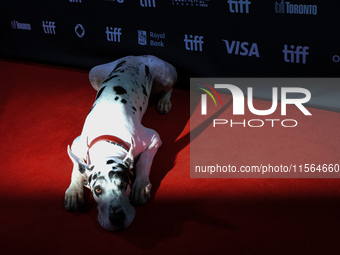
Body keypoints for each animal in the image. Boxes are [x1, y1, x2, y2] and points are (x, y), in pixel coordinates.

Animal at [63, 55, 178, 231]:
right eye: (97, 190)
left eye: (123, 184)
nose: (117, 218)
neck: (107, 144)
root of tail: (137, 56)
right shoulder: (76, 144)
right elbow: (76, 167)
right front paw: (74, 190)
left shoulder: (154, 137)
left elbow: (144, 161)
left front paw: (140, 185)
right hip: (94, 73)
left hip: (164, 74)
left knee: (168, 89)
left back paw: (164, 101)